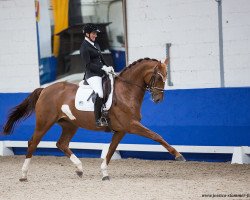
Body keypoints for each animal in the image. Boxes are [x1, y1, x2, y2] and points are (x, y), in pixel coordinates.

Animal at [1, 57, 186, 181]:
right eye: (159, 76)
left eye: (166, 76)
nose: (158, 99)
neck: (126, 92)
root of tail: (44, 90)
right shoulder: (132, 125)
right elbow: (157, 136)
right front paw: (178, 155)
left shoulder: (121, 130)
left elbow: (111, 150)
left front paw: (104, 173)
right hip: (44, 122)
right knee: (33, 142)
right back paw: (24, 175)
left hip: (70, 125)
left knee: (62, 144)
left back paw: (79, 169)